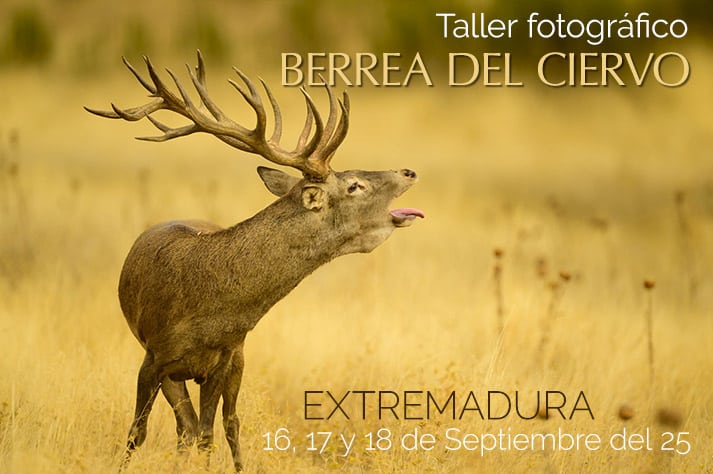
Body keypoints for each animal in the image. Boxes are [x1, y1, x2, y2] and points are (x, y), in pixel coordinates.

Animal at [85, 51, 423, 472]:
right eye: (354, 185)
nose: (409, 170)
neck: (211, 311)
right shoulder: (153, 357)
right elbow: (138, 432)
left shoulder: (225, 358)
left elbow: (209, 433)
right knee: (185, 426)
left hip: (239, 362)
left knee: (223, 424)